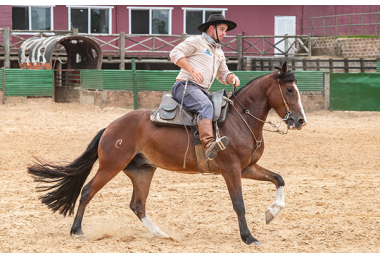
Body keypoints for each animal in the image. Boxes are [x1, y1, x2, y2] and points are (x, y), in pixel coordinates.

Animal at [27, 61, 306, 246]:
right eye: (289, 90)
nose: (300, 120)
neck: (240, 120)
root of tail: (111, 127)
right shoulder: (231, 170)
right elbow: (239, 204)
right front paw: (248, 237)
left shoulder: (248, 168)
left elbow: (279, 179)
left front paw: (272, 212)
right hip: (110, 166)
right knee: (87, 191)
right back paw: (78, 231)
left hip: (142, 171)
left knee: (137, 204)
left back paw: (160, 233)